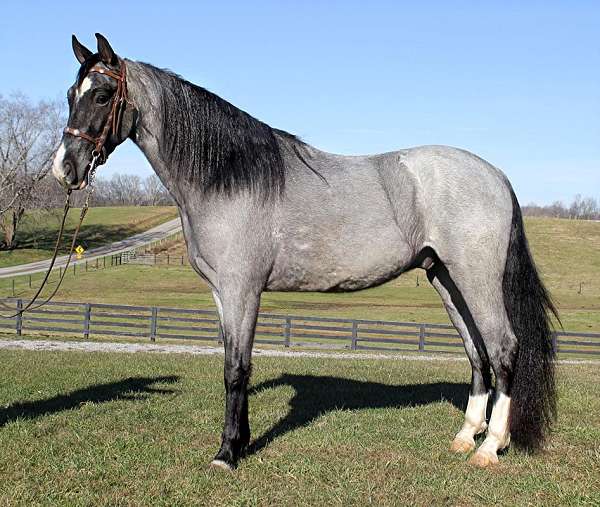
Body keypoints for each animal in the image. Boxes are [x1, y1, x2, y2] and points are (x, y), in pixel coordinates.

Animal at [51, 33, 556, 472]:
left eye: (102, 96)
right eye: (71, 94)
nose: (64, 169)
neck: (230, 178)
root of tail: (496, 175)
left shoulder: (242, 290)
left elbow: (236, 368)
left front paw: (227, 453)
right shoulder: (222, 293)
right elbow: (233, 362)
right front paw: (242, 441)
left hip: (476, 278)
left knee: (503, 347)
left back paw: (489, 447)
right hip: (446, 278)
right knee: (476, 352)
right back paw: (466, 436)